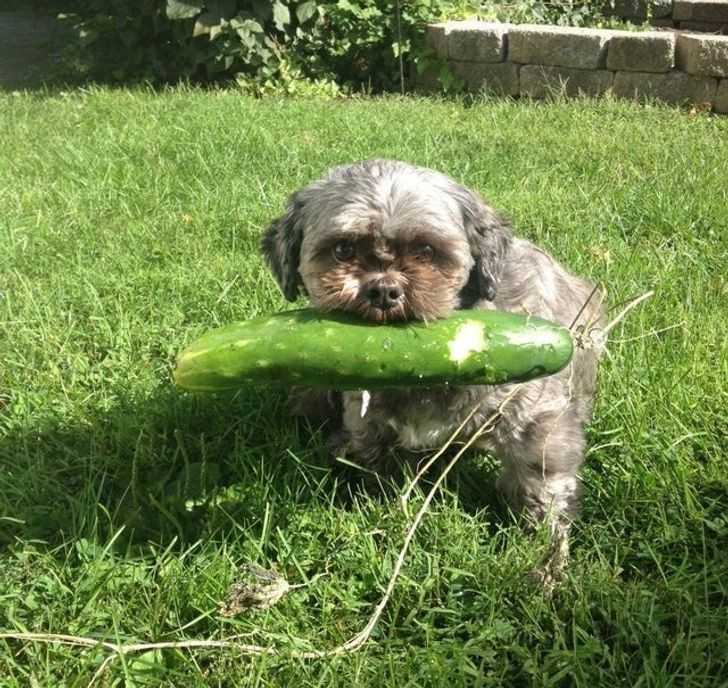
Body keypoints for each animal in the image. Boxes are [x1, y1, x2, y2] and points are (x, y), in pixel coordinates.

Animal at [262, 161, 604, 584]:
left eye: (426, 250)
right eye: (343, 249)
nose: (384, 290)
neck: (423, 377)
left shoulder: (536, 418)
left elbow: (542, 482)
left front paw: (547, 555)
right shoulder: (367, 415)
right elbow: (379, 462)